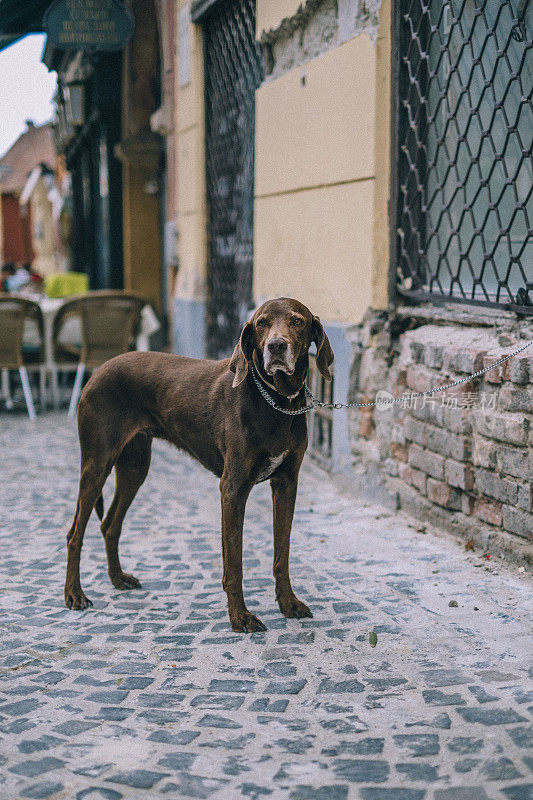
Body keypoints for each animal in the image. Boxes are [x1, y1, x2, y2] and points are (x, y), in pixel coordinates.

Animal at [64, 298, 332, 632]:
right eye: (262, 323)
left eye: (297, 321)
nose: (276, 346)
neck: (276, 401)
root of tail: (99, 370)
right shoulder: (233, 490)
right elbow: (234, 563)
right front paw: (240, 617)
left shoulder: (286, 484)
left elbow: (281, 555)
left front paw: (288, 604)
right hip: (97, 464)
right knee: (75, 533)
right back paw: (74, 594)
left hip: (134, 467)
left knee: (109, 524)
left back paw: (117, 579)